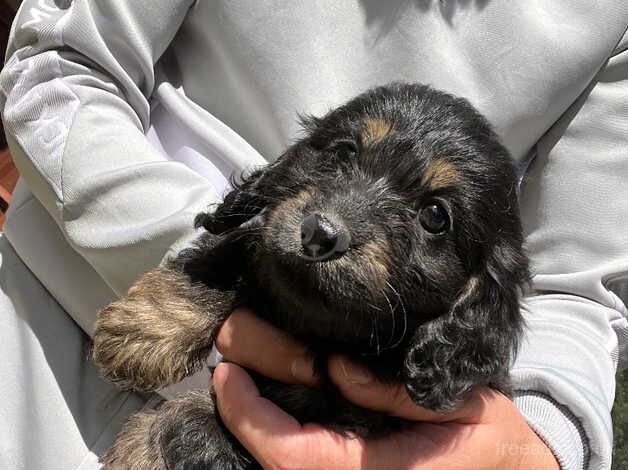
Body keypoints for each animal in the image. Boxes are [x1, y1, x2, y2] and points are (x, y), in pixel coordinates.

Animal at [91, 84, 528, 470]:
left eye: (435, 215)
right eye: (343, 152)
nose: (319, 233)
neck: (316, 326)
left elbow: (199, 418)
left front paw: (144, 447)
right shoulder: (261, 241)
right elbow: (227, 252)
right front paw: (144, 330)